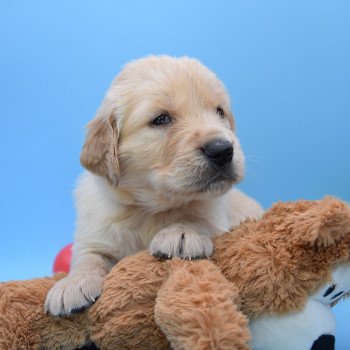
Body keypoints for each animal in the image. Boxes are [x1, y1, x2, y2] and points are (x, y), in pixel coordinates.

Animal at [43, 55, 262, 318]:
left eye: (219, 111)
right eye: (161, 119)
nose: (222, 150)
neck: (149, 209)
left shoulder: (216, 215)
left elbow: (197, 215)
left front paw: (182, 231)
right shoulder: (95, 231)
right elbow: (87, 257)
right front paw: (71, 284)